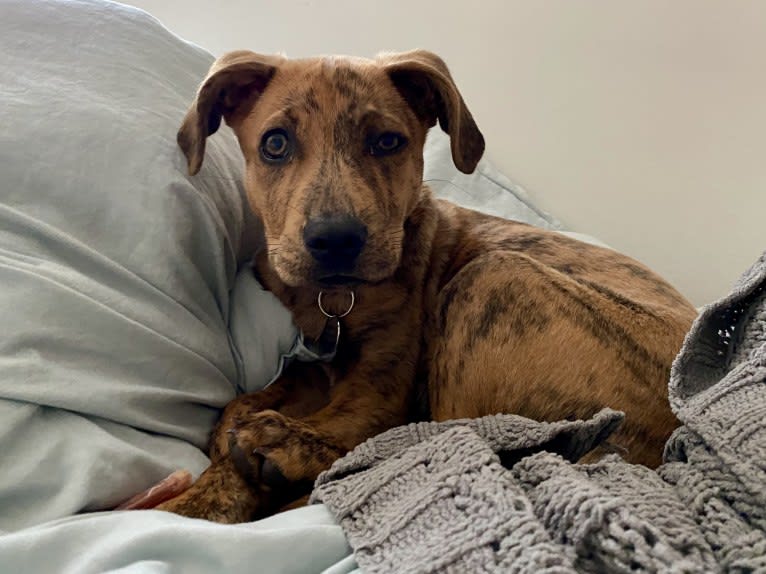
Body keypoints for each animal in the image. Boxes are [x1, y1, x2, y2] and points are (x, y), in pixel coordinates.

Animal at [138, 50, 696, 528]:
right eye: (275, 144)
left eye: (387, 142)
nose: (335, 241)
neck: (336, 302)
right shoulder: (319, 364)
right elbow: (245, 401)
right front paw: (220, 465)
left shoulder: (380, 392)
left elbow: (354, 431)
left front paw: (265, 454)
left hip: (493, 281)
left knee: (446, 440)